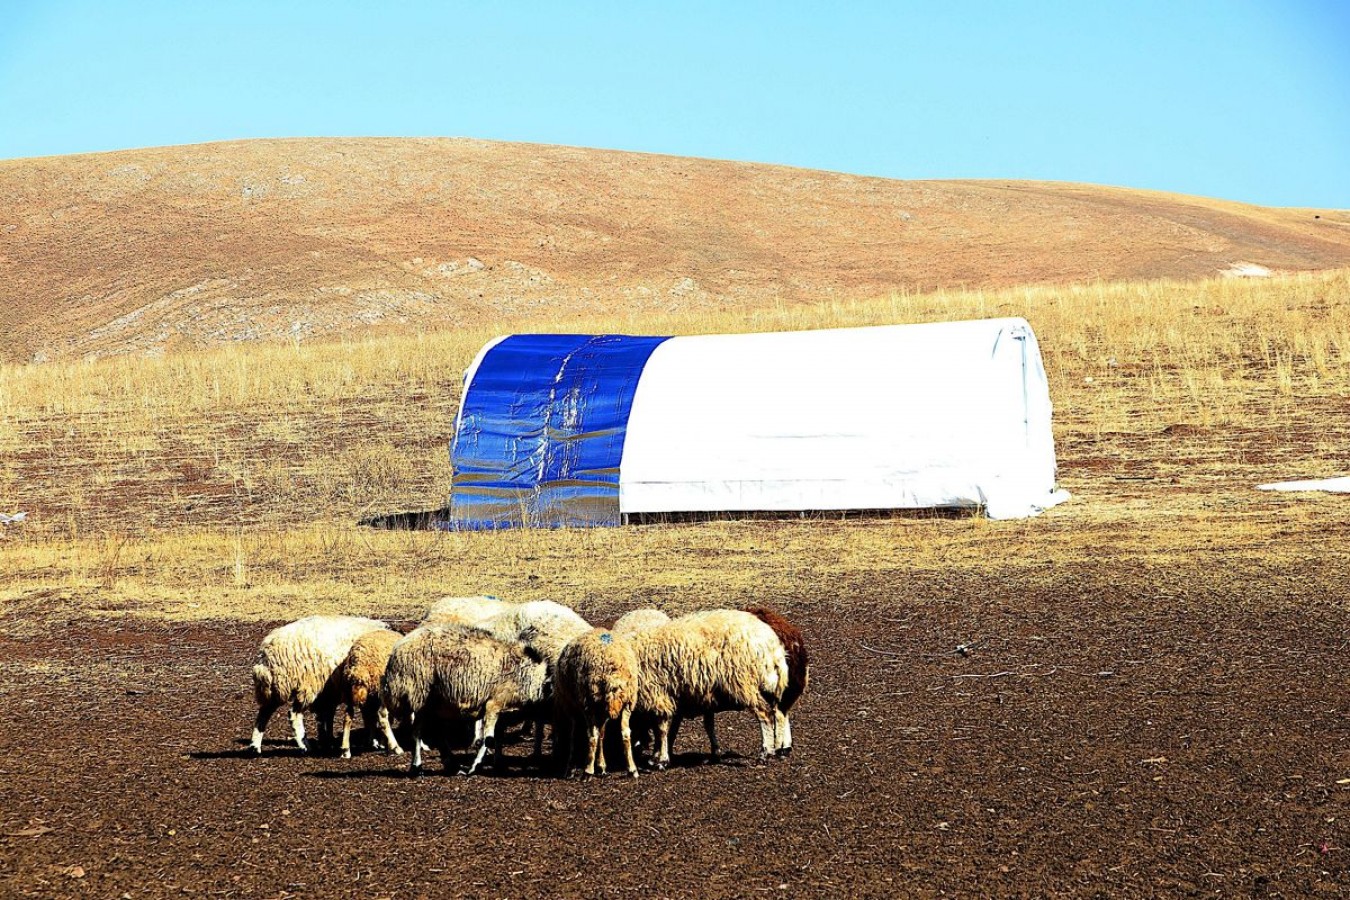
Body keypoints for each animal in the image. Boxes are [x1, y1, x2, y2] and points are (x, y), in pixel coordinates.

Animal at [249, 615, 391, 755]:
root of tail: (267, 652)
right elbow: (370, 716)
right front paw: (375, 741)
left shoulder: (332, 692)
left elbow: (328, 717)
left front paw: (328, 741)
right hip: (306, 685)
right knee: (294, 714)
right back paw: (304, 746)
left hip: (278, 687)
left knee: (264, 712)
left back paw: (255, 747)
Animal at [334, 626, 402, 761]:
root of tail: (359, 666)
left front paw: (379, 741)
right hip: (380, 690)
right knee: (381, 716)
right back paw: (395, 747)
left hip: (349, 690)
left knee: (348, 716)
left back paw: (346, 750)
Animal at [378, 626, 550, 777]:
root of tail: (396, 651)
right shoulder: (494, 704)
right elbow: (488, 739)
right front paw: (475, 767)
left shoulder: (502, 710)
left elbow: (497, 738)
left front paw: (497, 764)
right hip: (420, 696)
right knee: (417, 733)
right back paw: (418, 767)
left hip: (433, 702)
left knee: (435, 733)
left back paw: (450, 765)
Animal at [556, 626, 645, 782]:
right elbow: (602, 734)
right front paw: (601, 766)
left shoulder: (573, 708)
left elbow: (576, 736)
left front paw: (572, 769)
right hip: (627, 703)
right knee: (625, 734)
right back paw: (632, 769)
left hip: (589, 702)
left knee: (592, 735)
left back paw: (587, 771)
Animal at [631, 609, 788, 771]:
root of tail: (772, 645)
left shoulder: (658, 696)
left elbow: (661, 729)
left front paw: (660, 759)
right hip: (768, 686)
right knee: (778, 713)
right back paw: (777, 749)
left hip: (745, 684)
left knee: (765, 715)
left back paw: (764, 753)